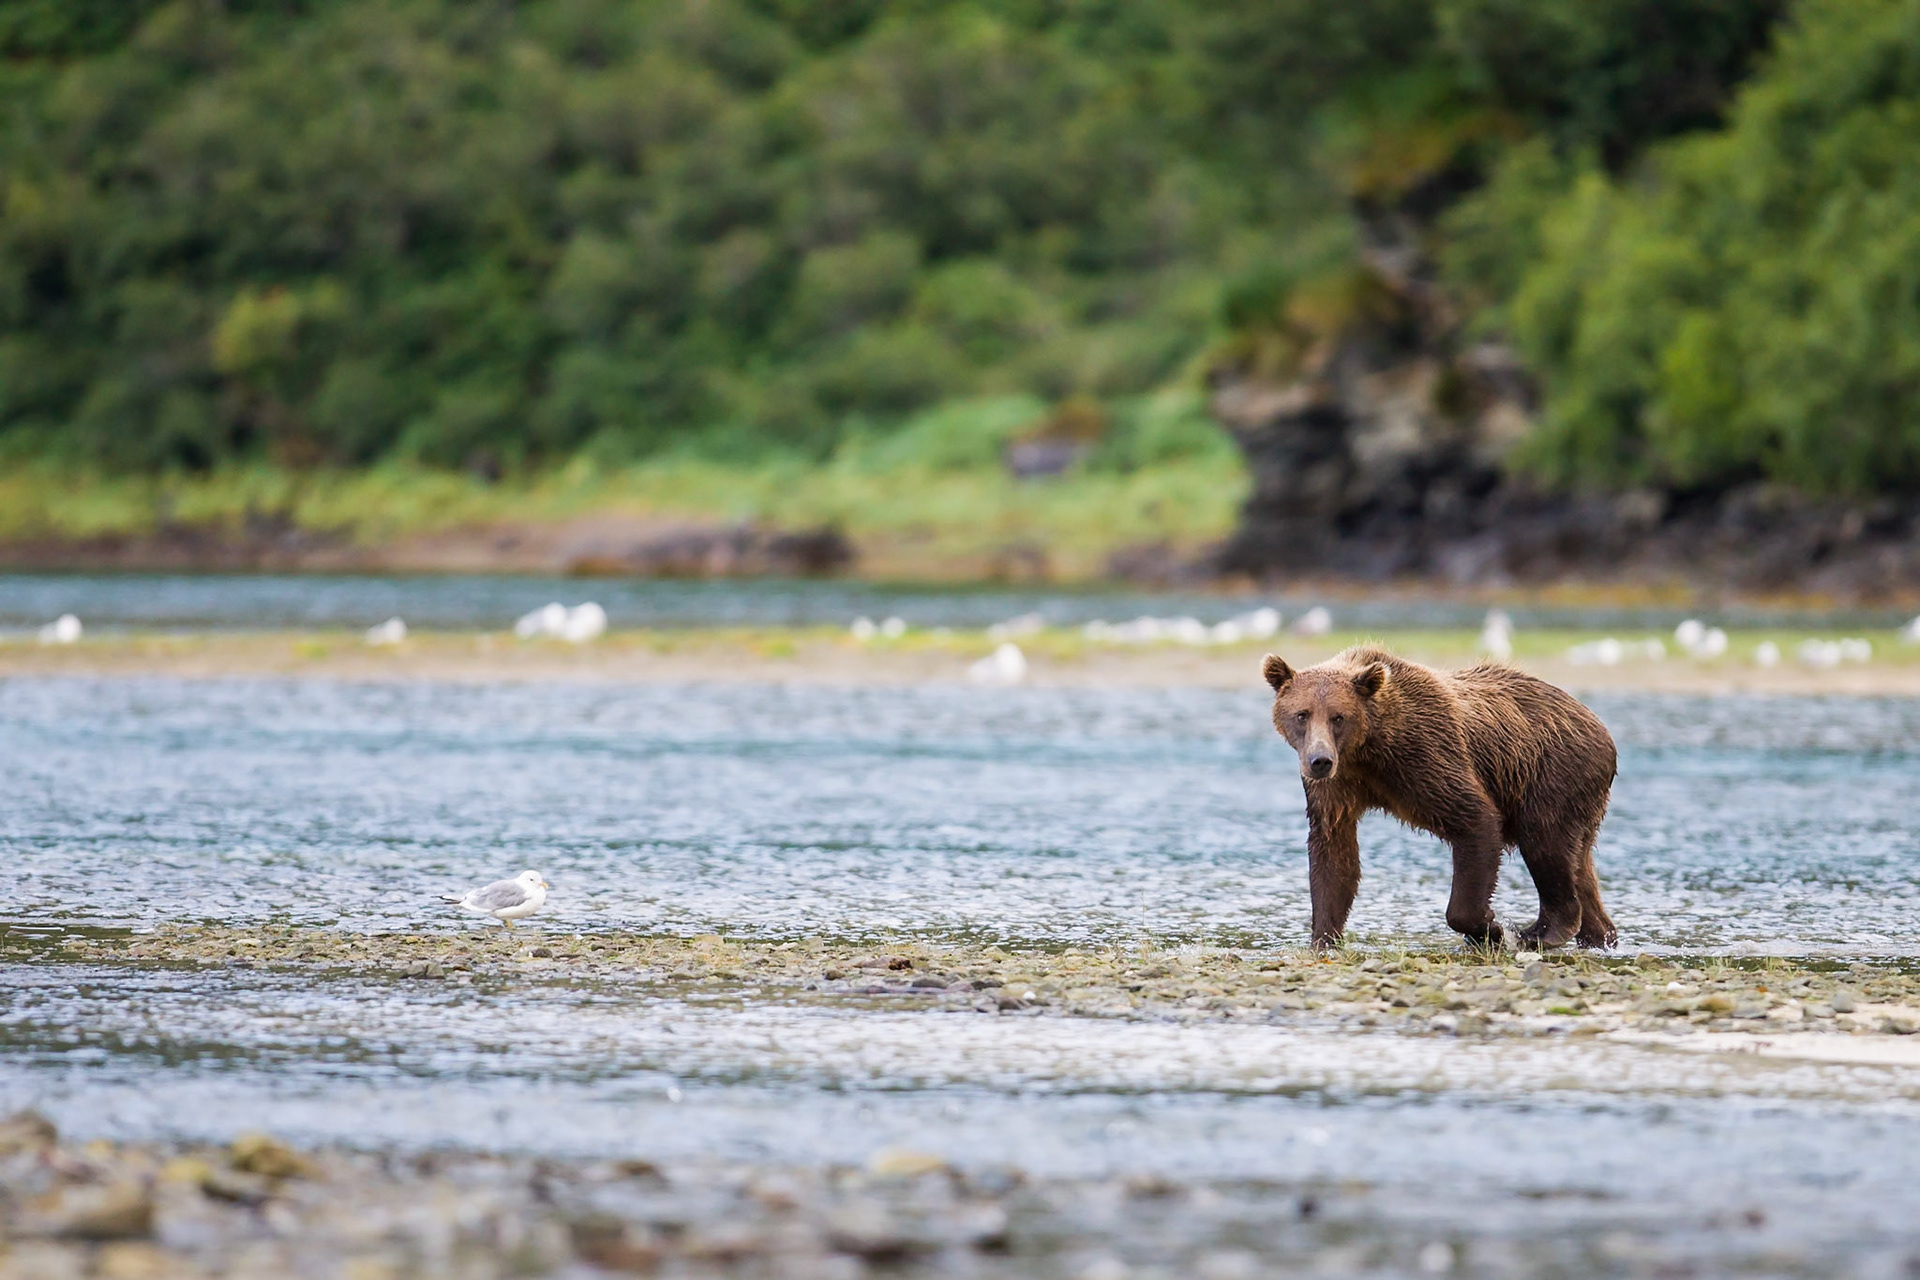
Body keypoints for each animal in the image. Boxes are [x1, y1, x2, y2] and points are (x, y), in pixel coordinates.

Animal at [1261, 645, 1617, 950]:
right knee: (1579, 865)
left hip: (1552, 772)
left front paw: (1490, 928)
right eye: (1302, 714)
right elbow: (1334, 852)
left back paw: (1540, 931)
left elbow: (1476, 819)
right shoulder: (1339, 786)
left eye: (1338, 716)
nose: (1320, 760)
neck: (1370, 747)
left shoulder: (1426, 754)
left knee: (1546, 843)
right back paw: (1600, 936)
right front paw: (1323, 938)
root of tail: (1597, 722)